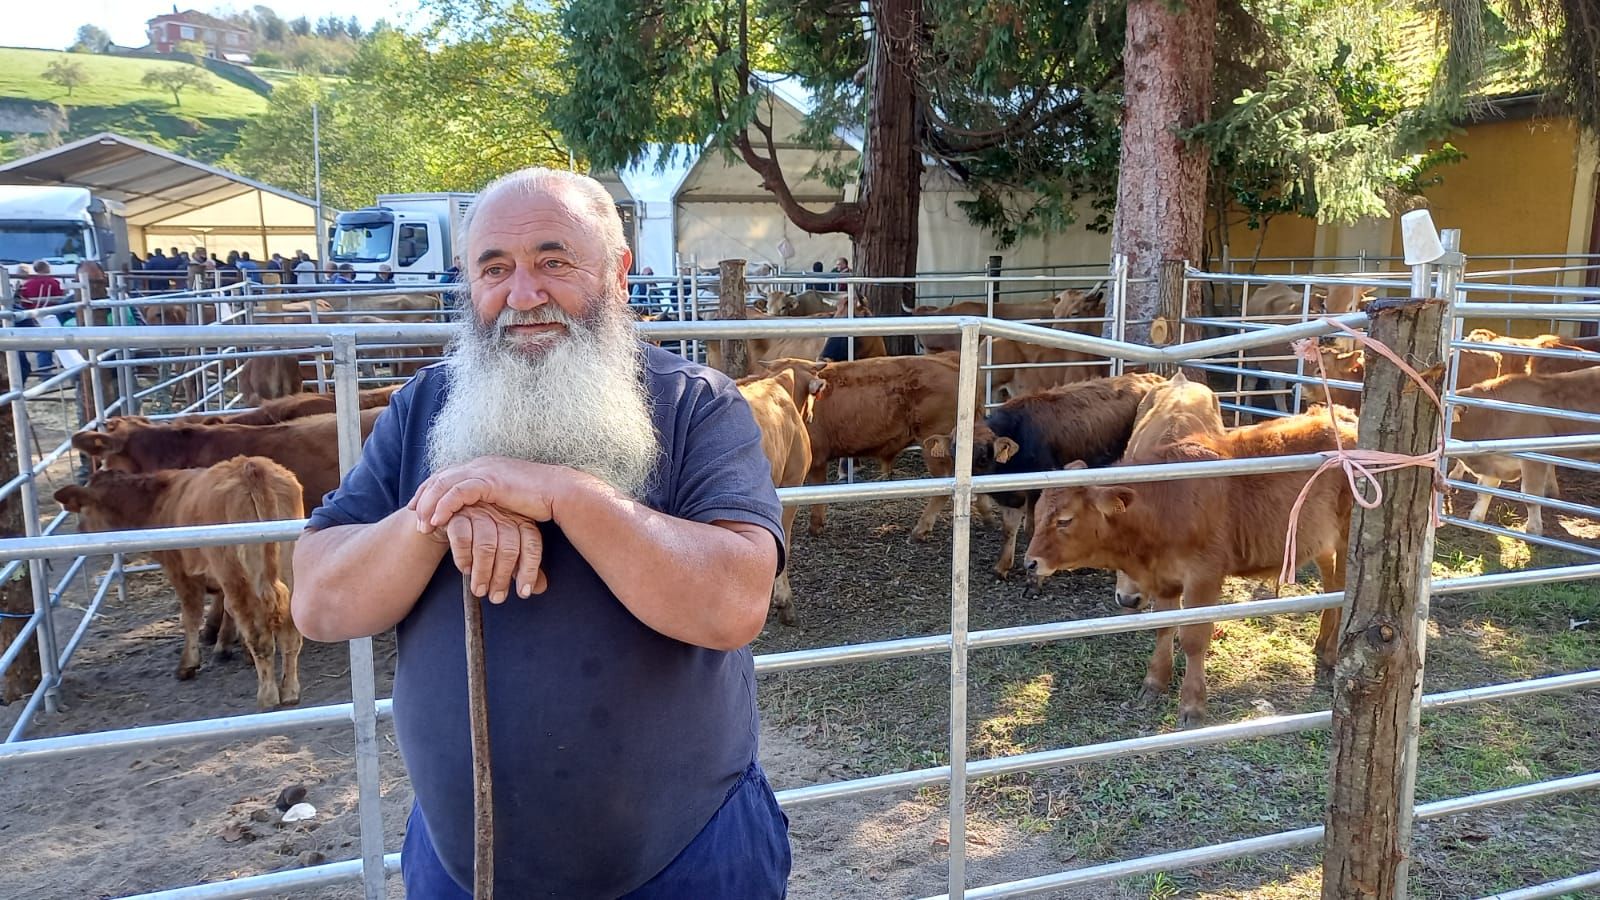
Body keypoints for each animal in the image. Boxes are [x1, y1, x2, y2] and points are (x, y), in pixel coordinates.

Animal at [53, 454, 302, 707]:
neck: (159, 501)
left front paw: (188, 664)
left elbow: (191, 616)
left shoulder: (180, 571)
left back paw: (268, 695)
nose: (79, 530)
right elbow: (226, 611)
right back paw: (290, 691)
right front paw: (230, 649)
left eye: (82, 510)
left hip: (235, 574)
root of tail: (252, 468)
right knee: (290, 632)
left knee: (259, 636)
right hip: (286, 569)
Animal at [1452, 365, 1600, 531]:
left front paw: (1533, 529)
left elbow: (1530, 496)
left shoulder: (1533, 459)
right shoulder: (1494, 459)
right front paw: (1475, 519)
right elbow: (1484, 490)